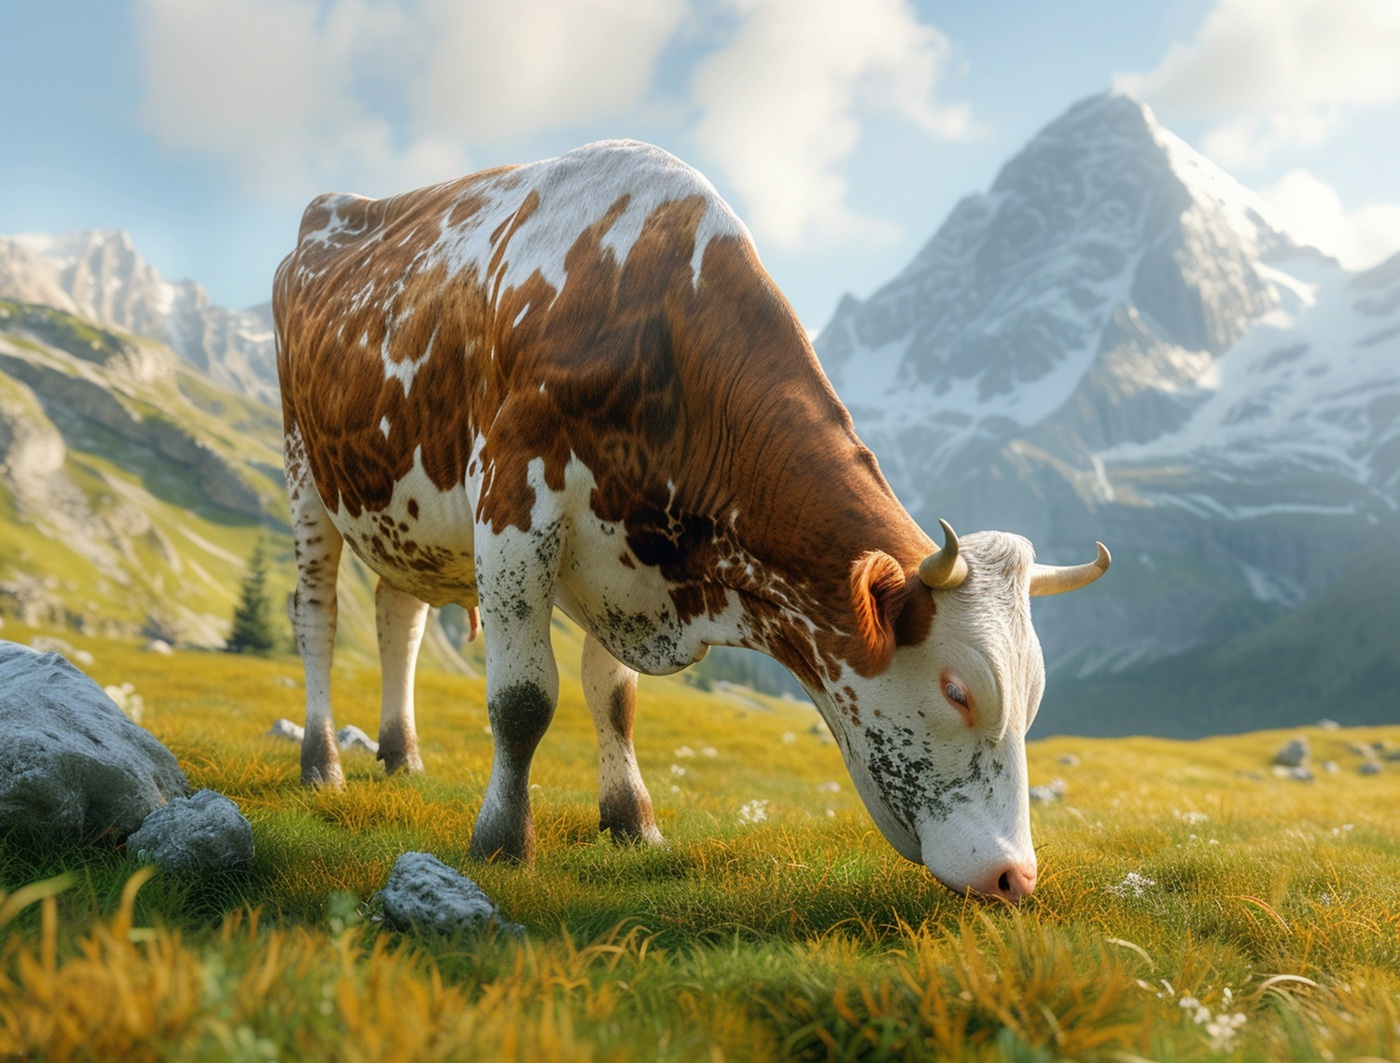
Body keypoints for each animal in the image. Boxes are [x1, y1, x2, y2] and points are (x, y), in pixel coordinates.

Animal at [273, 140, 1109, 903]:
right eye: (959, 689)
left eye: (1033, 694)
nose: (1014, 875)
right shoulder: (515, 508)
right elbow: (523, 701)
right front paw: (503, 842)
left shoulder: (613, 555)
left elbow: (614, 697)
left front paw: (631, 821)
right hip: (304, 472)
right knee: (318, 619)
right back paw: (323, 764)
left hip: (400, 512)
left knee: (399, 619)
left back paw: (401, 755)